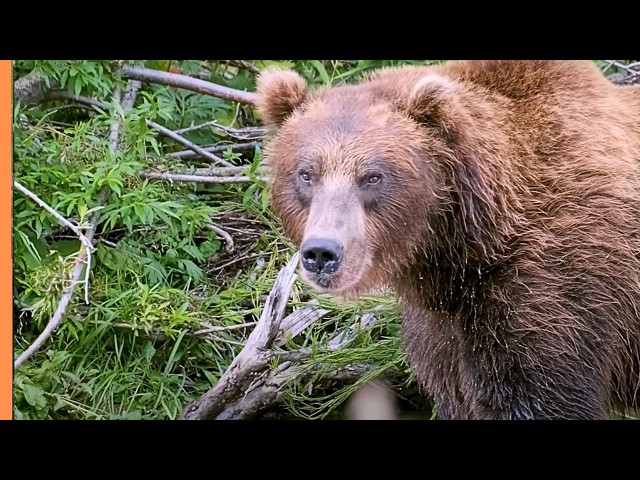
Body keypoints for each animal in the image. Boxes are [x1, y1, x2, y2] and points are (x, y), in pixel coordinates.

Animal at [255, 60, 640, 420]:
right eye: (306, 173)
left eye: (373, 176)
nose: (322, 252)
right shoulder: (441, 329)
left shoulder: (557, 289)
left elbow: (536, 394)